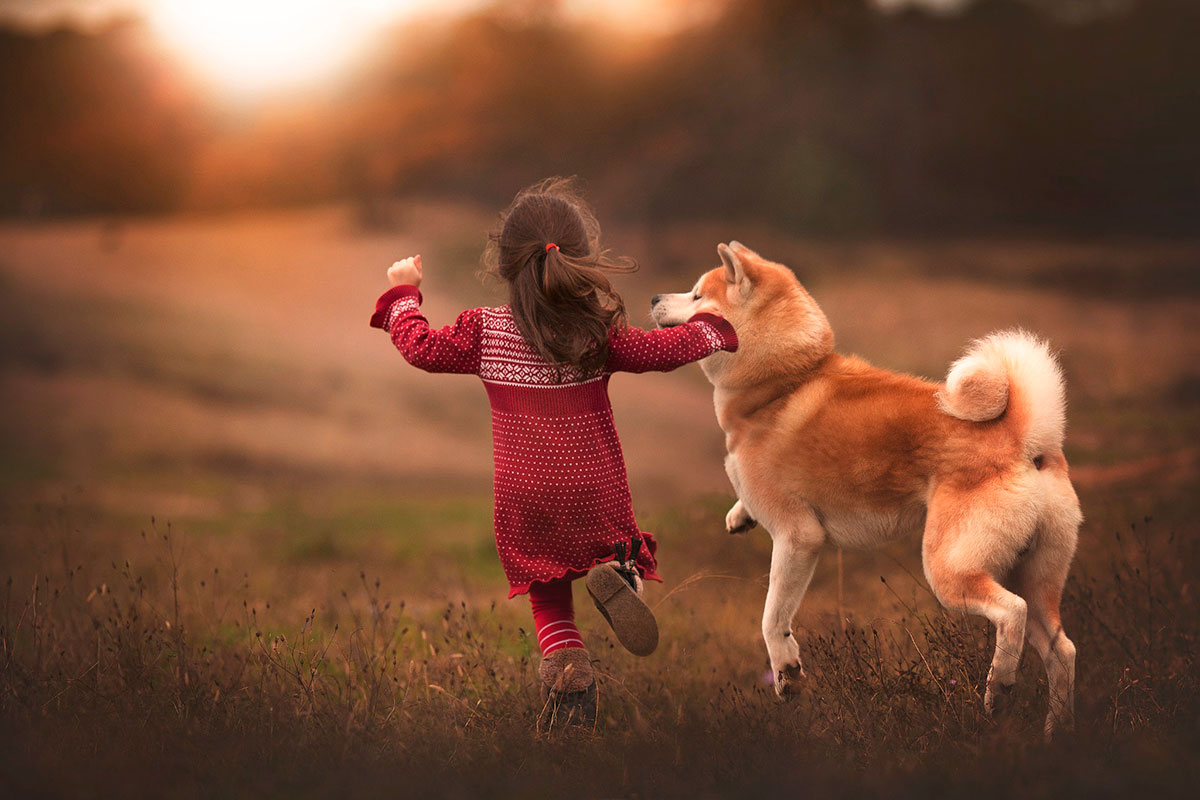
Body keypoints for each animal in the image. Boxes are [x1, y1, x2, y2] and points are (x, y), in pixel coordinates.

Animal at [652, 242, 1084, 738]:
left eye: (697, 294)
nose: (654, 297)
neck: (783, 382)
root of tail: (1022, 438)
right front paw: (739, 515)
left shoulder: (798, 538)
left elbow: (771, 618)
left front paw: (786, 674)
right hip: (1033, 576)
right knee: (1061, 650)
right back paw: (1055, 732)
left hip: (950, 571)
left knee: (1011, 612)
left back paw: (999, 689)